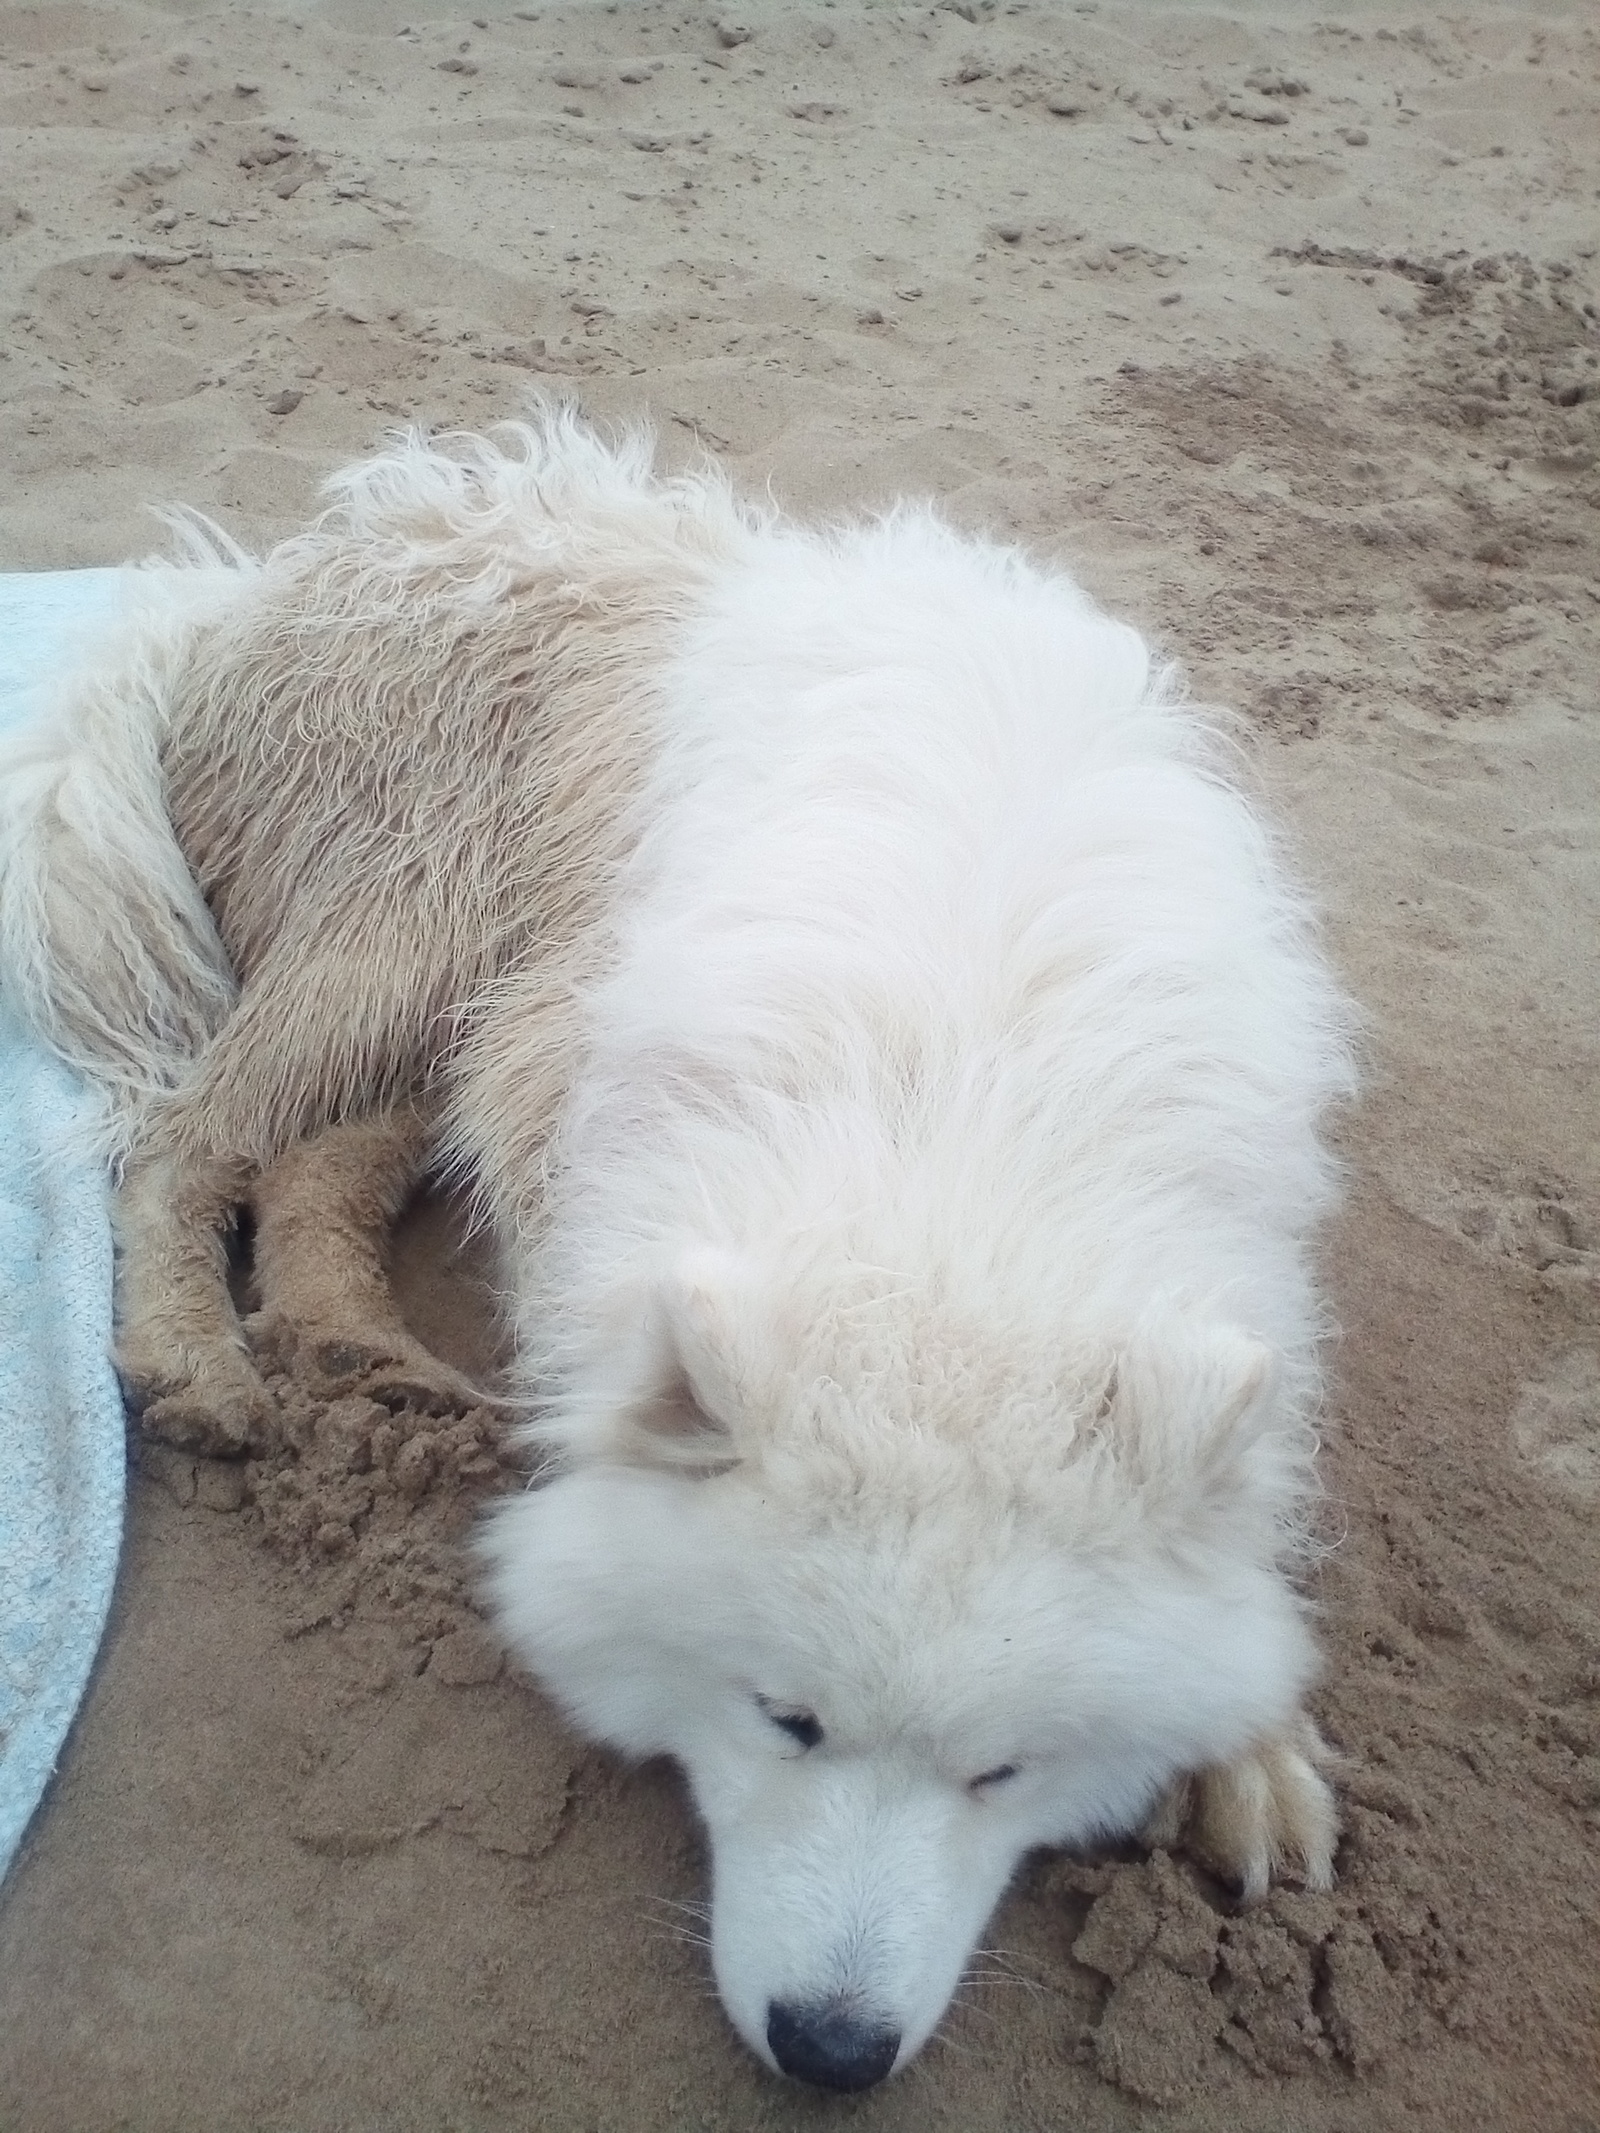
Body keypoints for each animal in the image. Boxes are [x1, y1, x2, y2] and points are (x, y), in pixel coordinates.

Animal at [0, 407, 1356, 2090]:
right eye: (785, 1719)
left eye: (1005, 1772)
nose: (833, 2055)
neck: (956, 1156)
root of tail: (250, 583)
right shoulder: (559, 1073)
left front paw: (1254, 1743)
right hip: (415, 928)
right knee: (187, 1139)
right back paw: (198, 1358)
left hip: (452, 980)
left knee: (315, 1168)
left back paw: (361, 1356)